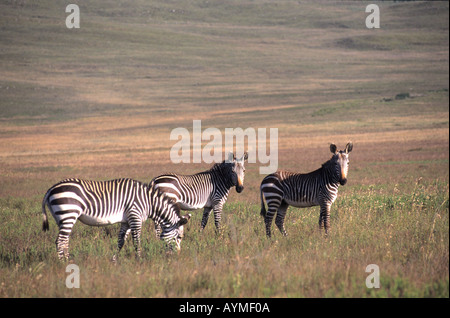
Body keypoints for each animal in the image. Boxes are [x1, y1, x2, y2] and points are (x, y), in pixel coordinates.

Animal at [41, 178, 191, 260]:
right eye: (179, 237)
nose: (177, 256)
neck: (149, 202)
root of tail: (51, 189)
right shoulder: (135, 217)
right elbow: (137, 241)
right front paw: (139, 259)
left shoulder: (126, 221)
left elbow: (120, 241)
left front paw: (115, 260)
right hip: (68, 213)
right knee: (60, 241)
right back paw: (63, 263)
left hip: (61, 218)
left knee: (64, 241)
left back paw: (69, 260)